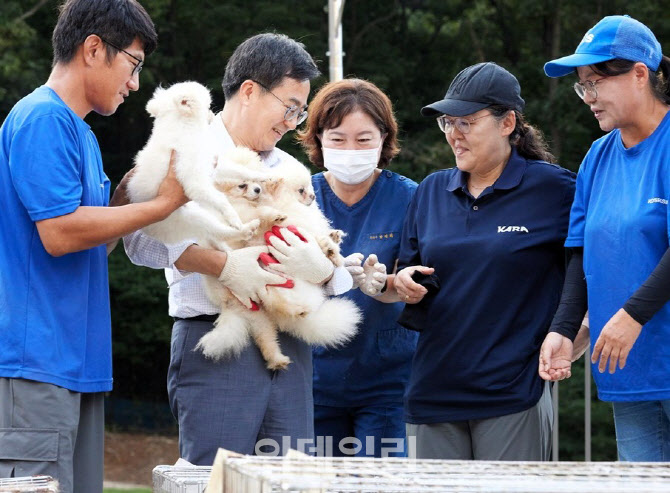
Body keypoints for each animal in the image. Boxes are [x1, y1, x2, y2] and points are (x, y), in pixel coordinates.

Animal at [127, 82, 258, 250]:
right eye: (208, 106)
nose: (212, 113)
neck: (183, 126)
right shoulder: (195, 179)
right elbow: (222, 199)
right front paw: (233, 216)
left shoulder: (212, 165)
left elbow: (239, 170)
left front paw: (264, 176)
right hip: (186, 220)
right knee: (218, 232)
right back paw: (242, 229)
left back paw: (247, 230)